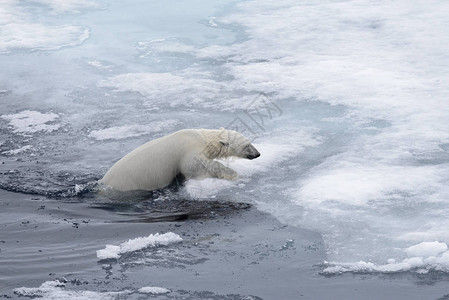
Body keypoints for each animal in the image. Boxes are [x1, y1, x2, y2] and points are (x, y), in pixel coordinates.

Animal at [99, 127, 260, 191]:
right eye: (247, 145)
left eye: (250, 141)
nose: (257, 154)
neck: (202, 139)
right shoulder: (188, 153)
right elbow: (197, 167)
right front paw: (233, 174)